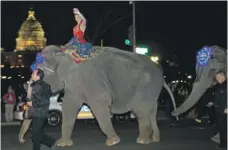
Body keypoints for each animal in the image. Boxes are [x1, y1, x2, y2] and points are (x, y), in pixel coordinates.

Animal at [33, 44, 177, 146]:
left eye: (39, 72)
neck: (63, 52)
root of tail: (160, 72)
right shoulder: (75, 84)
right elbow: (69, 106)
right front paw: (62, 144)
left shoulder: (89, 80)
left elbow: (98, 105)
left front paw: (113, 142)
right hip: (152, 90)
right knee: (152, 111)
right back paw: (154, 139)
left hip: (144, 87)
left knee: (141, 111)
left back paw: (142, 141)